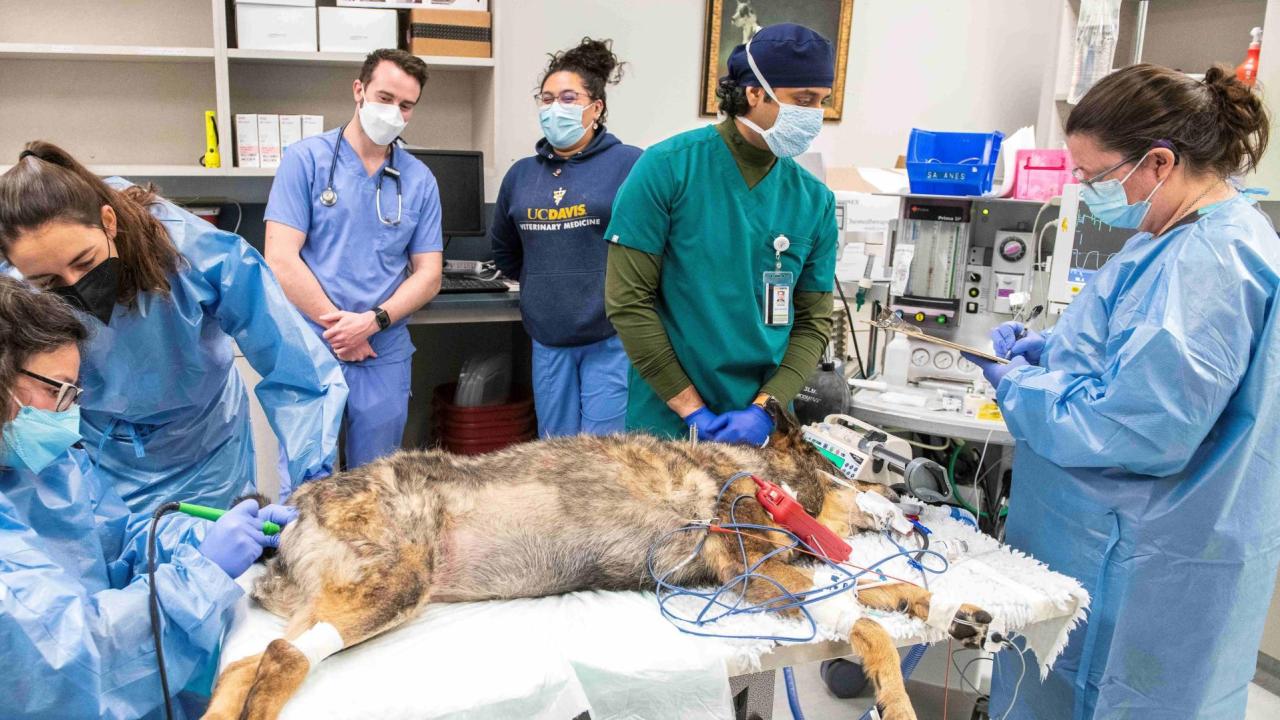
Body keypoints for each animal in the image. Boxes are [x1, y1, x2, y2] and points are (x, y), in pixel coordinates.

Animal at [207, 404, 988, 717]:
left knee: (247, 662)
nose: (910, 502)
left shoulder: (764, 576)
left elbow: (877, 587)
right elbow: (865, 620)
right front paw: (895, 692)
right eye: (849, 470)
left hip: (344, 597)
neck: (765, 478)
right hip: (396, 583)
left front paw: (956, 609)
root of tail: (296, 504)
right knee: (281, 658)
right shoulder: (749, 568)